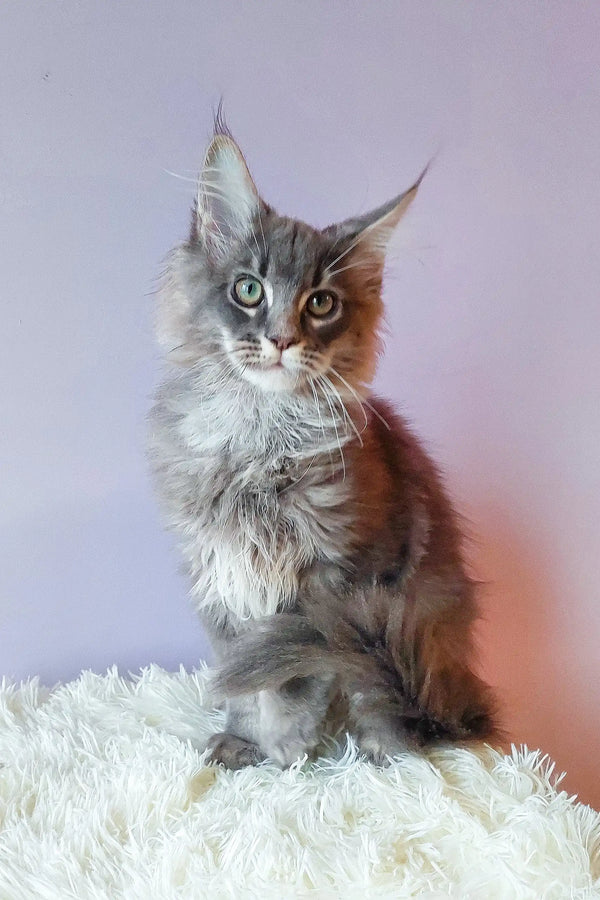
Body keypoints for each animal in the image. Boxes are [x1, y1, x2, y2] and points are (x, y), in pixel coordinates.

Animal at [150, 116, 496, 768]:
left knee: (397, 711)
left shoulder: (330, 585)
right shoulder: (221, 573)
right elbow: (244, 681)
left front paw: (286, 753)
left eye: (321, 303)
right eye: (249, 290)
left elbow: (294, 682)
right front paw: (243, 742)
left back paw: (379, 749)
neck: (257, 439)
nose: (282, 339)